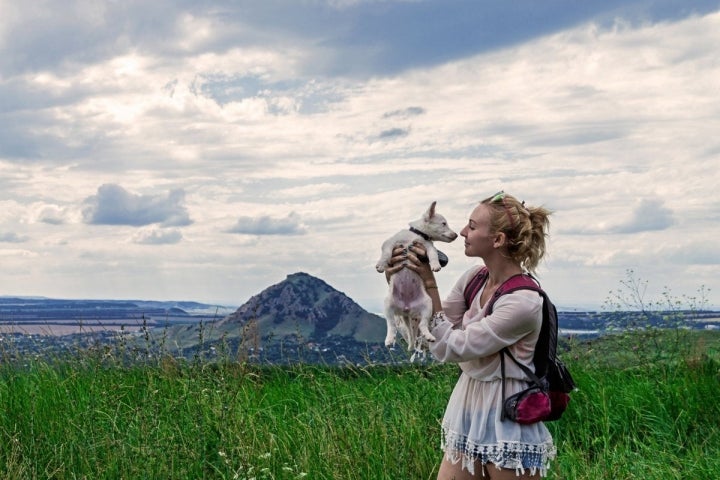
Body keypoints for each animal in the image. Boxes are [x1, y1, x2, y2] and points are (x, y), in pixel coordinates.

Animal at [374, 201, 458, 354]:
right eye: (443, 223)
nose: (456, 235)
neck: (417, 236)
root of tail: (406, 309)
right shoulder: (390, 242)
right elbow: (387, 252)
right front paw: (381, 265)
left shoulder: (428, 247)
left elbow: (433, 255)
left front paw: (435, 265)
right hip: (388, 306)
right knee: (391, 325)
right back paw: (389, 339)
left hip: (427, 306)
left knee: (422, 325)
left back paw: (429, 335)